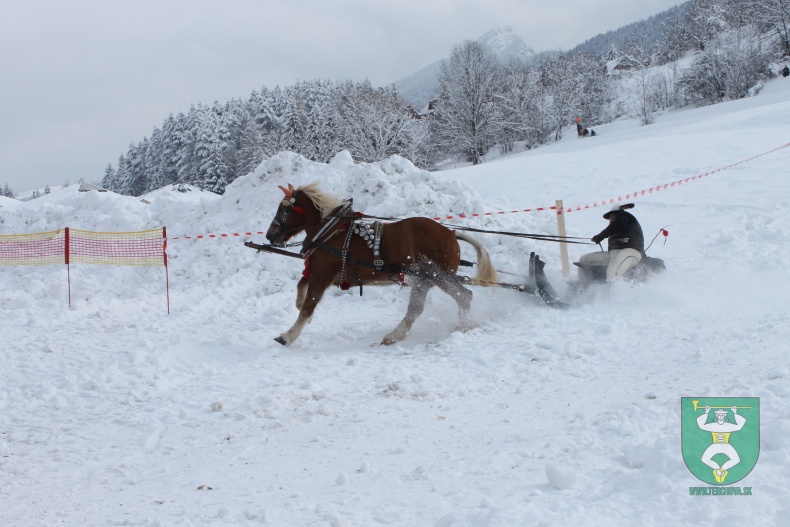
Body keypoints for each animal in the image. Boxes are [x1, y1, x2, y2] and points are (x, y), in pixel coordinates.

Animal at [266, 184, 502, 348]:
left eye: (282, 209)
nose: (270, 235)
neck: (328, 231)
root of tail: (451, 233)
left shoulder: (323, 274)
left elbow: (309, 305)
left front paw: (288, 336)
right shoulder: (318, 272)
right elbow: (301, 289)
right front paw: (300, 313)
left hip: (433, 276)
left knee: (455, 298)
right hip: (428, 278)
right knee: (434, 304)